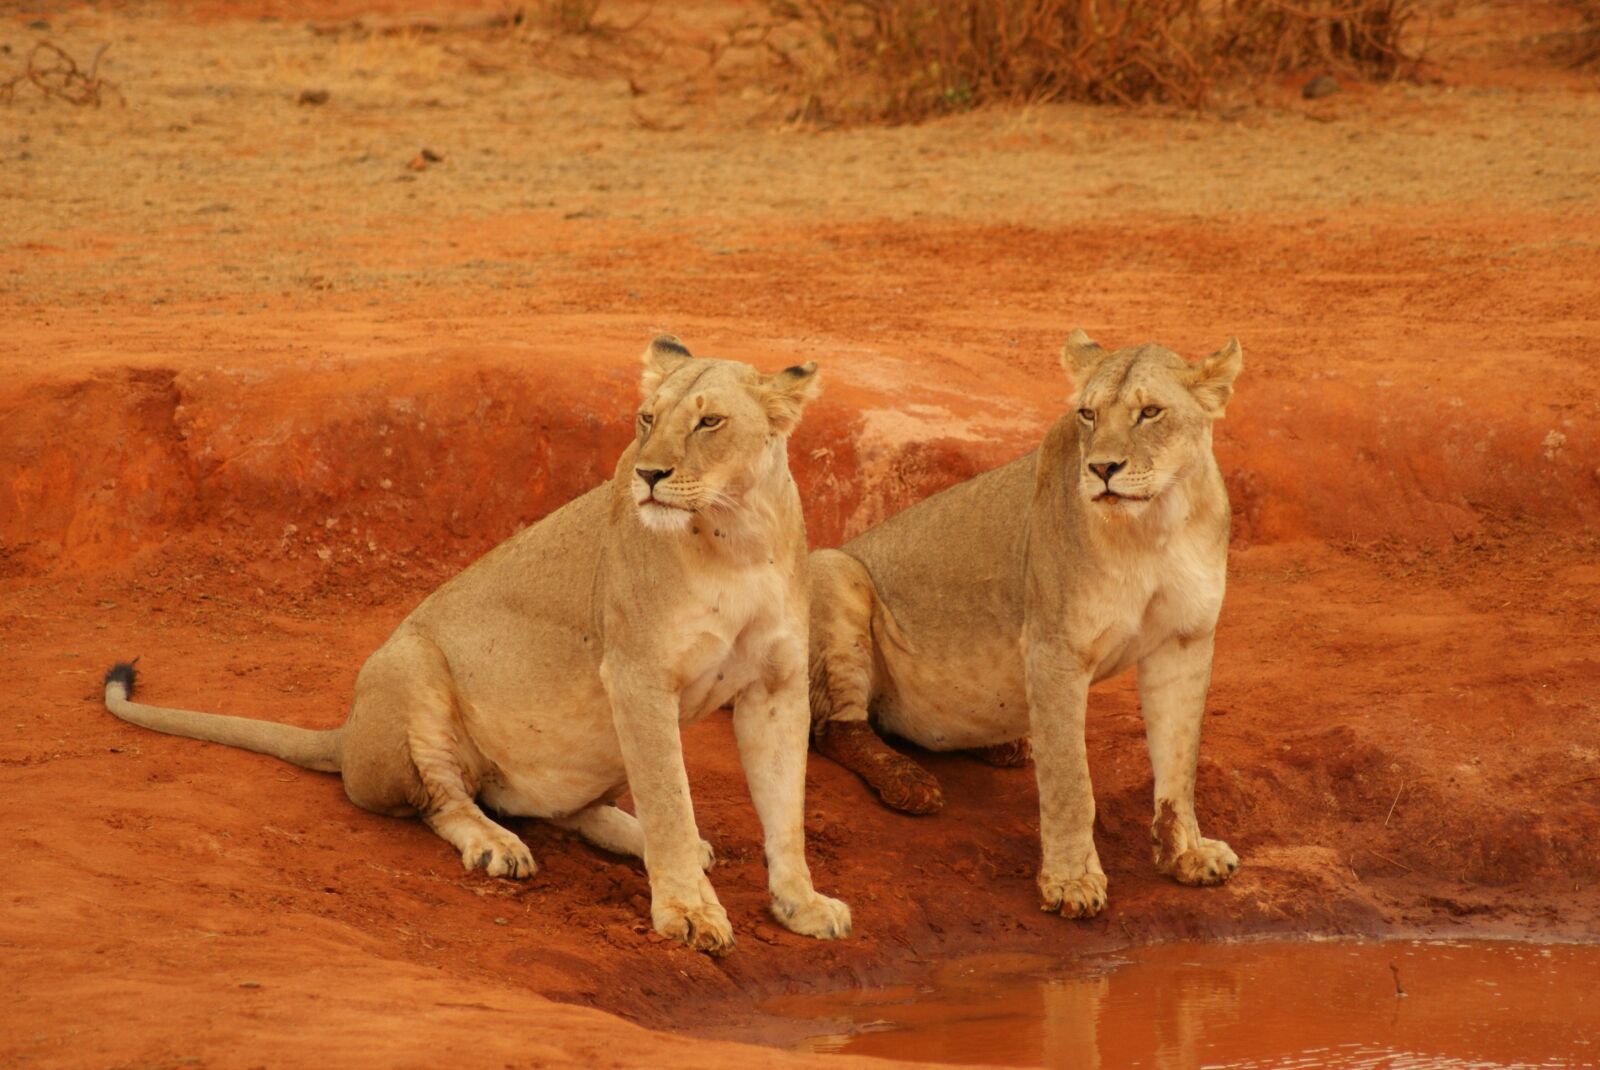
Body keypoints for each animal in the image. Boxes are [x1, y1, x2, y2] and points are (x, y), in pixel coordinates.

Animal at [103, 335, 851, 956]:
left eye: (709, 422)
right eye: (646, 418)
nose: (649, 475)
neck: (736, 535)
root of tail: (345, 733)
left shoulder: (777, 686)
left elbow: (783, 808)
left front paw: (802, 905)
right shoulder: (638, 675)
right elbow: (669, 795)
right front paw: (690, 914)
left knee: (575, 810)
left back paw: (678, 847)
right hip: (408, 666)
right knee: (443, 800)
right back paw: (499, 846)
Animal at [808, 330, 1243, 919]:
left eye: (1150, 412)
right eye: (1088, 413)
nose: (1102, 469)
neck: (1155, 524)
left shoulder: (1185, 640)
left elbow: (1180, 763)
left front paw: (1188, 856)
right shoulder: (1053, 650)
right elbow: (1070, 781)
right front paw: (1072, 882)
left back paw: (1004, 745)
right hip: (834, 570)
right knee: (836, 729)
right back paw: (910, 784)